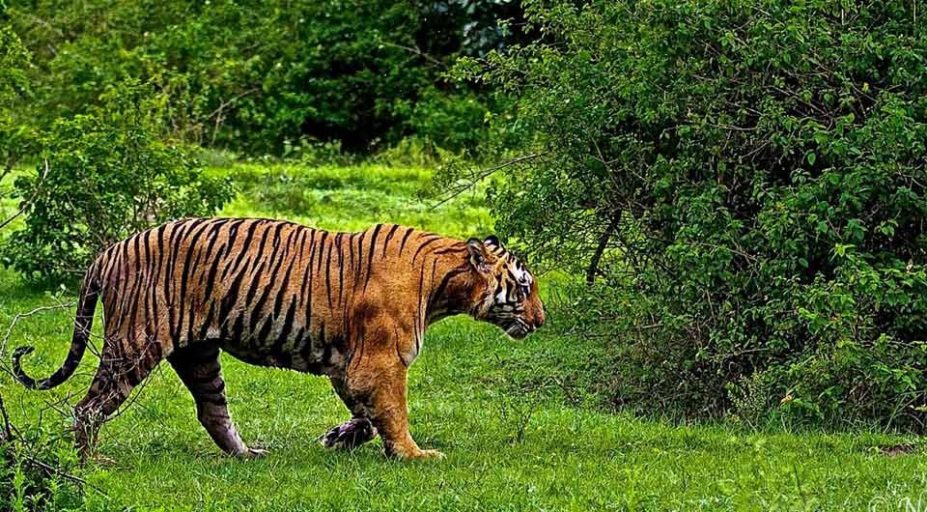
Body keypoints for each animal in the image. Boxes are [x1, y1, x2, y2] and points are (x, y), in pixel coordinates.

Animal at [12, 218, 545, 460]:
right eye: (523, 287)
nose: (541, 320)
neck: (443, 284)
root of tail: (111, 249)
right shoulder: (379, 362)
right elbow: (393, 413)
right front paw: (414, 455)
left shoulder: (350, 366)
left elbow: (368, 414)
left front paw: (340, 438)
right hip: (133, 345)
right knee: (87, 407)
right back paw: (89, 462)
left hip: (199, 354)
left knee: (212, 411)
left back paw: (246, 455)